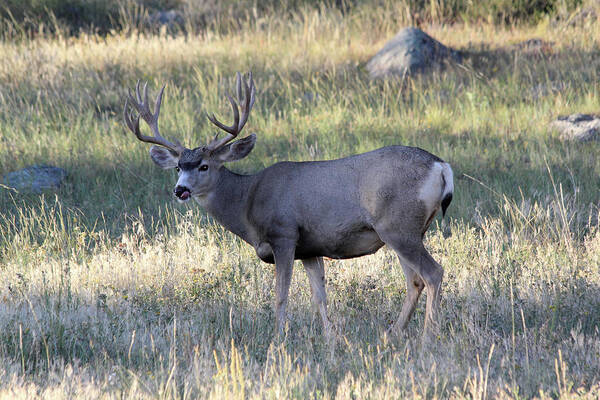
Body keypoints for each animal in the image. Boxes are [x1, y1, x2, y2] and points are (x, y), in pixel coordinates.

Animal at [123, 72, 450, 338]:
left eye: (203, 166)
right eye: (179, 166)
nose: (180, 190)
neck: (248, 201)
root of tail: (441, 165)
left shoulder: (284, 234)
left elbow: (281, 294)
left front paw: (279, 337)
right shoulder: (311, 248)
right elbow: (319, 296)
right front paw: (331, 337)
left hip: (398, 226)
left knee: (432, 273)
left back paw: (428, 337)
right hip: (405, 231)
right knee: (415, 281)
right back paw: (392, 333)